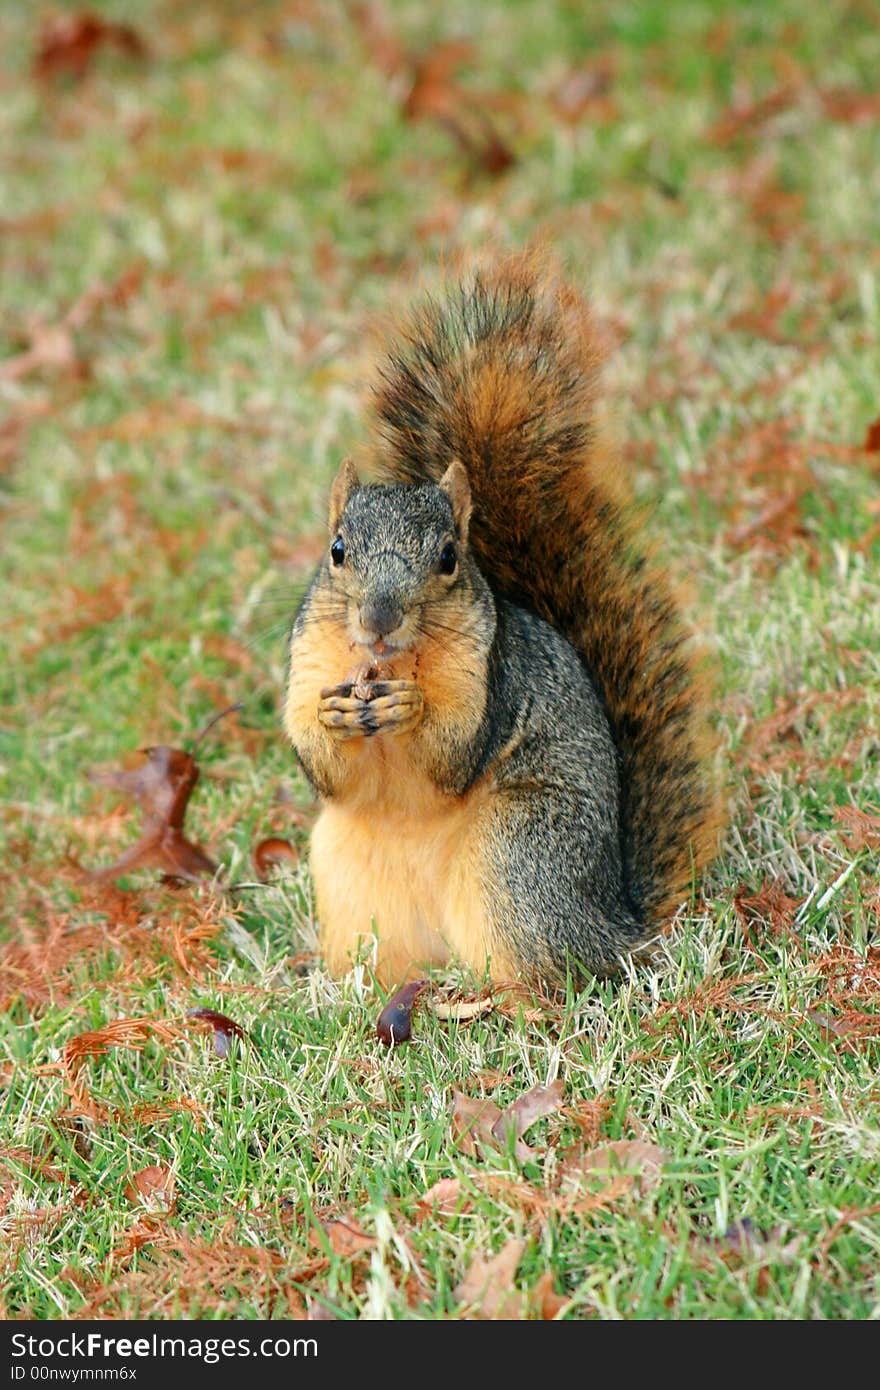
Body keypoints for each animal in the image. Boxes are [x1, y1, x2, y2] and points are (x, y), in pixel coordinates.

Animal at [283, 252, 722, 989]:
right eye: (337, 550)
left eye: (448, 558)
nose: (378, 620)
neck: (385, 663)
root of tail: (618, 923)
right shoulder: (309, 659)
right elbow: (323, 765)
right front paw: (330, 716)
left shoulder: (491, 679)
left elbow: (453, 753)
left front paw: (411, 709)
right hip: (348, 876)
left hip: (517, 856)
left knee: (554, 974)